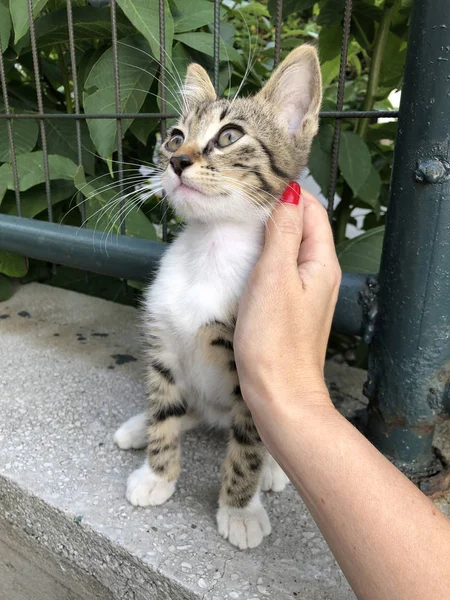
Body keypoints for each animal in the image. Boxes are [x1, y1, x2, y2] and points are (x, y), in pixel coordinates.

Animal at [114, 44, 322, 548]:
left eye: (229, 136)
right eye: (175, 137)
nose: (177, 160)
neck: (209, 251)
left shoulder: (250, 368)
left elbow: (248, 445)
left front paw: (240, 508)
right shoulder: (164, 342)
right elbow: (165, 408)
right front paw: (158, 474)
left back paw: (273, 470)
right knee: (180, 407)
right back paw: (139, 426)